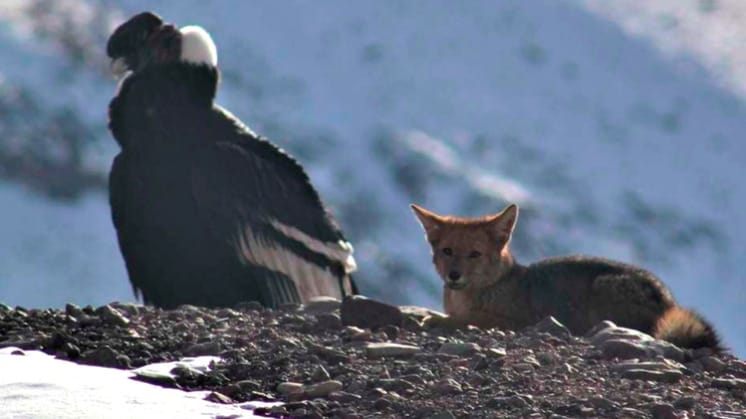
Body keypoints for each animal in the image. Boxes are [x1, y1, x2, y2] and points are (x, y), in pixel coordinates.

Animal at [411, 203, 722, 352]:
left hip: (601, 287)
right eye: (447, 251)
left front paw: (437, 319)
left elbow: (467, 319)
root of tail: (668, 300)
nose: (454, 275)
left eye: (474, 254)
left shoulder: (515, 321)